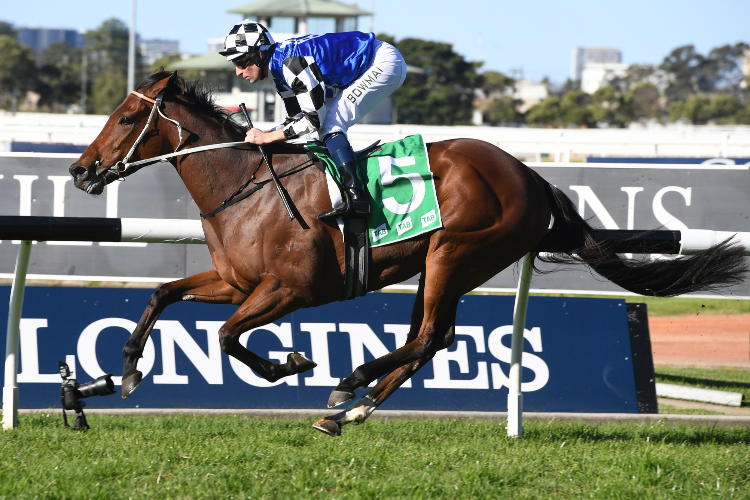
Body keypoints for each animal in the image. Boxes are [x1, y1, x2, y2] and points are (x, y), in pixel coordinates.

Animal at [69, 71, 748, 438]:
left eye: (126, 117)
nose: (80, 171)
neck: (248, 187)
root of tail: (530, 174)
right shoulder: (236, 282)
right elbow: (163, 294)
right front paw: (124, 370)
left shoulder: (290, 290)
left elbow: (228, 338)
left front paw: (292, 362)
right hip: (444, 266)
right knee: (434, 337)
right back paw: (353, 410)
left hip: (455, 251)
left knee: (426, 336)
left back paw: (349, 387)